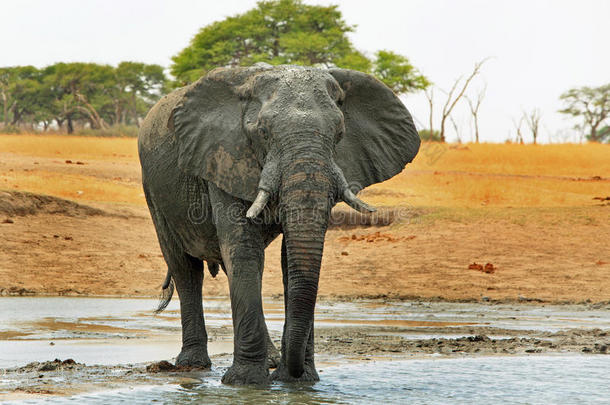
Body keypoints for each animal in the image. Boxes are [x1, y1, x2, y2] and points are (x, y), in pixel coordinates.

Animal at [138, 61, 418, 384]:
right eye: (263, 132)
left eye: (339, 133)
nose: (289, 374)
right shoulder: (223, 157)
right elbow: (243, 251)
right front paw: (246, 382)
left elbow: (290, 260)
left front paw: (302, 381)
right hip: (154, 191)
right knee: (185, 269)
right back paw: (192, 365)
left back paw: (270, 360)